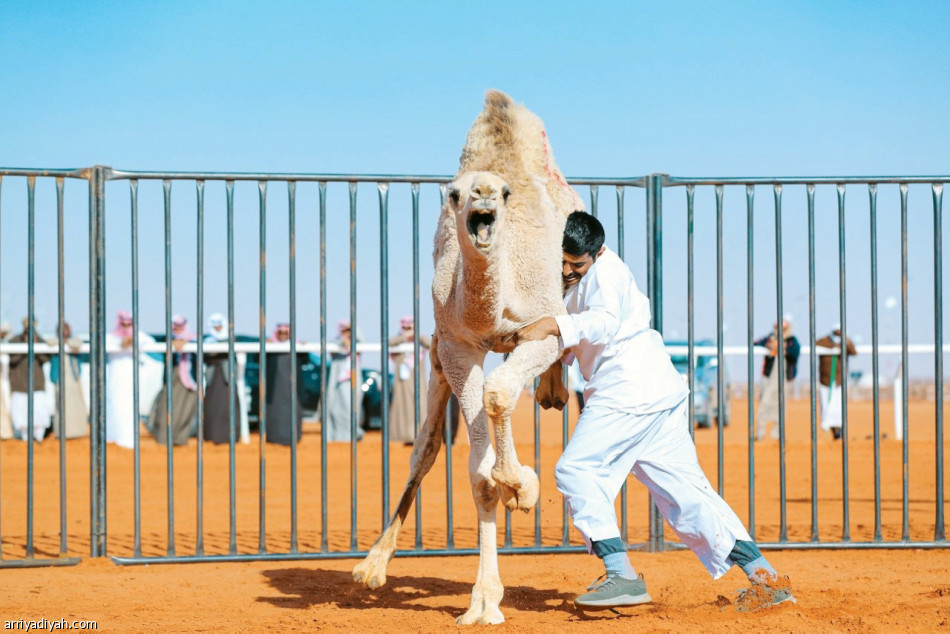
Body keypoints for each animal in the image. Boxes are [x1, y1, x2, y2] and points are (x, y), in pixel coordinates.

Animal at [356, 89, 584, 624]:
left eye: (503, 192)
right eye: (454, 194)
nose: (482, 194)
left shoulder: (539, 329)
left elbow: (502, 393)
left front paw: (524, 486)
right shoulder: (458, 348)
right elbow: (479, 477)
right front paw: (483, 601)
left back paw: (552, 393)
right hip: (439, 357)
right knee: (424, 450)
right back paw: (373, 565)